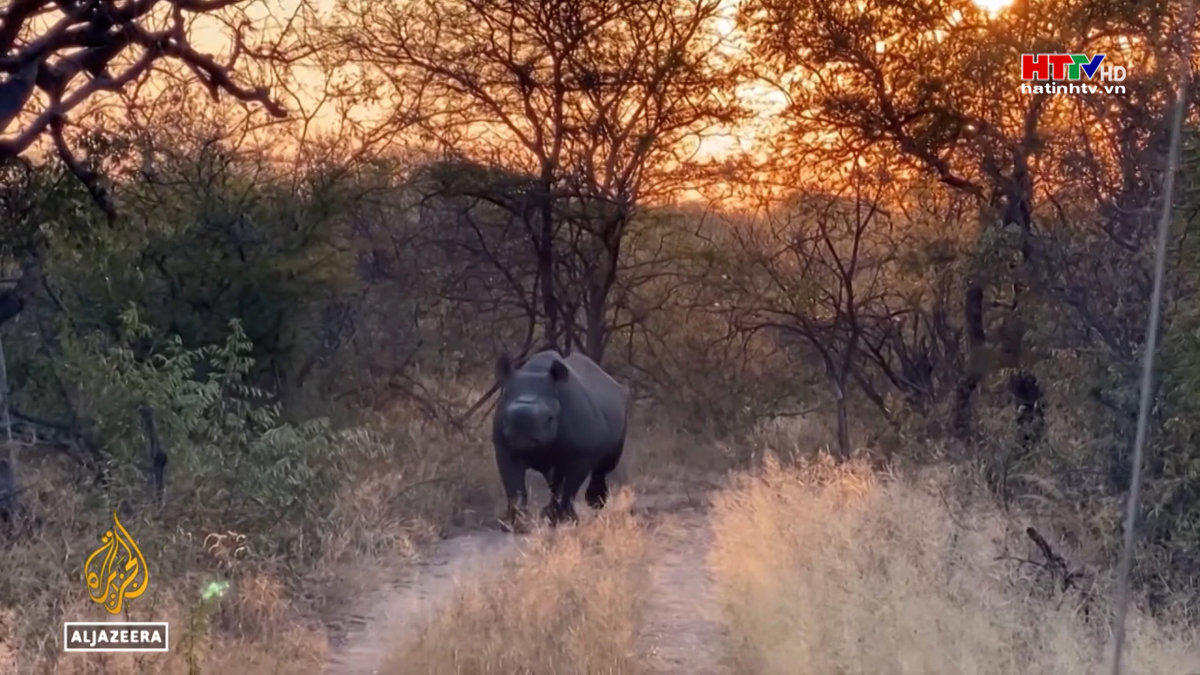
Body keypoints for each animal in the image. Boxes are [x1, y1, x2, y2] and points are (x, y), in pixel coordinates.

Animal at [492, 345, 633, 530]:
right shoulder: (505, 448)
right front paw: (513, 524)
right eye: (505, 418)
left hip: (621, 409)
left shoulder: (581, 455)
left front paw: (567, 520)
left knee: (605, 464)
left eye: (550, 418)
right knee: (555, 477)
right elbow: (514, 487)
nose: (522, 438)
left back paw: (595, 503)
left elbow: (570, 486)